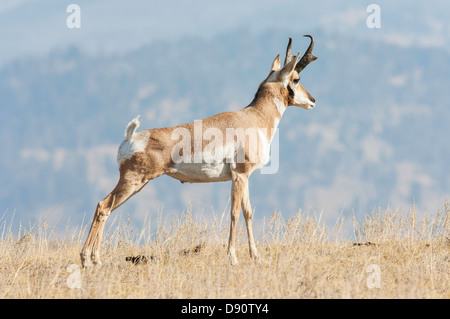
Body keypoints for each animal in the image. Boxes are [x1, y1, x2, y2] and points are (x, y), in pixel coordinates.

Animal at [81, 34, 320, 268]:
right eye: (296, 79)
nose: (313, 101)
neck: (253, 117)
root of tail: (131, 137)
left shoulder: (245, 178)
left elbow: (248, 213)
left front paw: (256, 256)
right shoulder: (239, 176)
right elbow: (234, 213)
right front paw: (233, 257)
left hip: (137, 184)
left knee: (105, 207)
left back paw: (94, 259)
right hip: (133, 181)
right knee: (103, 206)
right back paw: (88, 259)